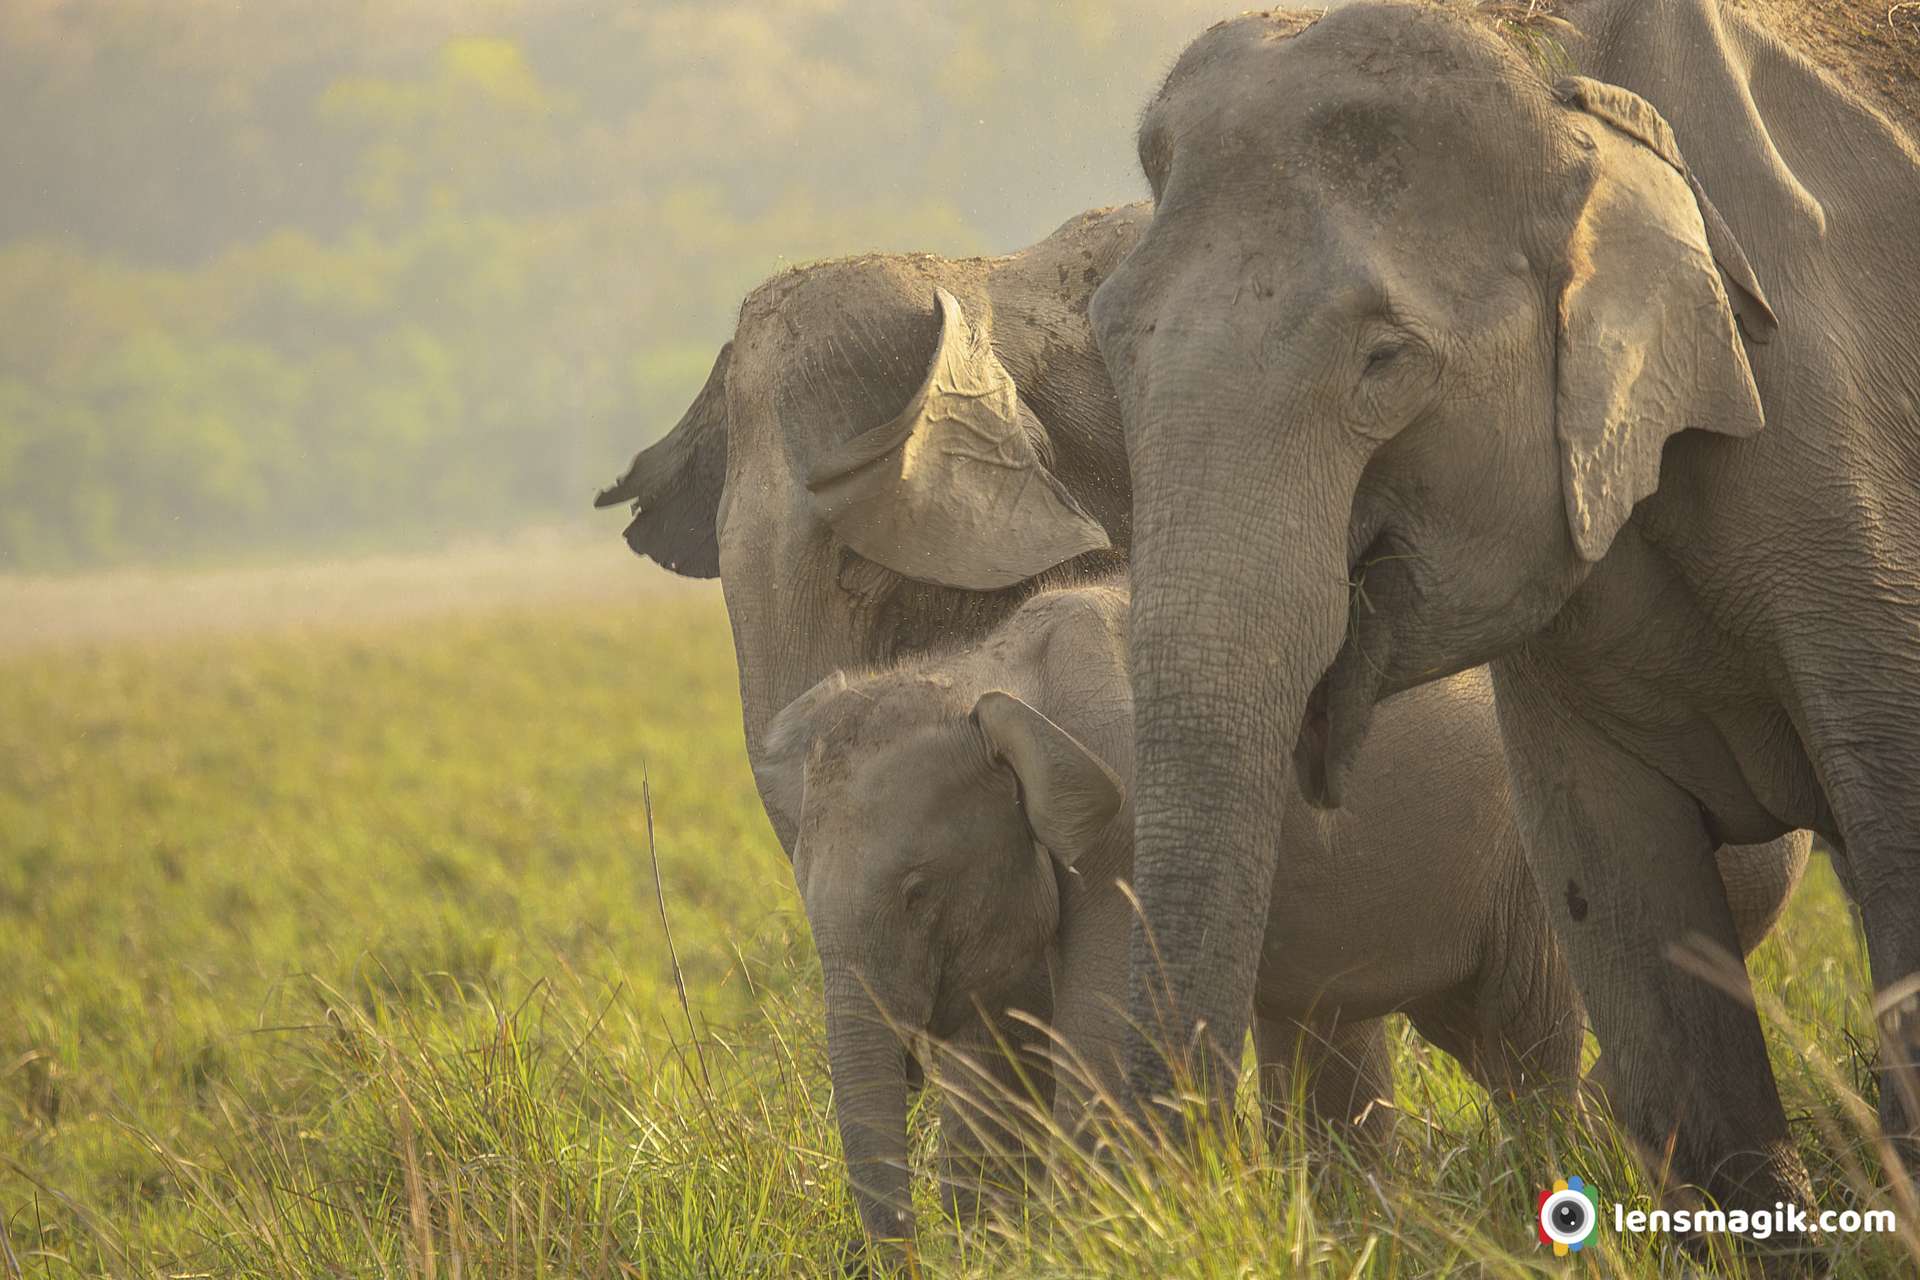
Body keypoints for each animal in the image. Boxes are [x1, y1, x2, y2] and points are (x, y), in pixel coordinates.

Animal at [756, 571, 1804, 1251]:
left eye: (917, 890)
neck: (992, 673)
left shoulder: (1131, 833)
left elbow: (1098, 1052)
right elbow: (992, 1087)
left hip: (1534, 860)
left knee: (1522, 1046)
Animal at [1098, 0, 1920, 1228]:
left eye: (1384, 360)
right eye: (1109, 336)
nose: (1184, 1195)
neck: (1557, 69)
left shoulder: (1841, 449)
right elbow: (1631, 924)